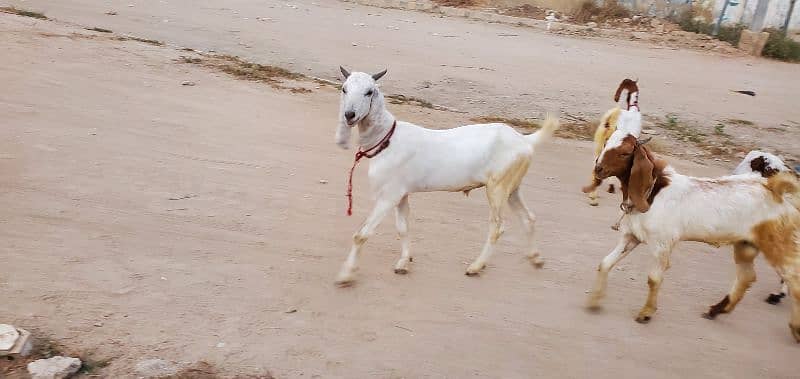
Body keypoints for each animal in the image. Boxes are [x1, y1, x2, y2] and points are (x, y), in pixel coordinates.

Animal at [334, 68, 560, 286]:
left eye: (369, 91)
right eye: (344, 88)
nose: (349, 115)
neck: (387, 138)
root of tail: (524, 140)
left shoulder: (388, 195)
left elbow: (361, 235)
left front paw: (346, 275)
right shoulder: (401, 194)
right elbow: (403, 228)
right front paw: (403, 263)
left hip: (497, 188)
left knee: (497, 227)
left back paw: (476, 267)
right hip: (512, 188)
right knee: (528, 218)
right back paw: (536, 258)